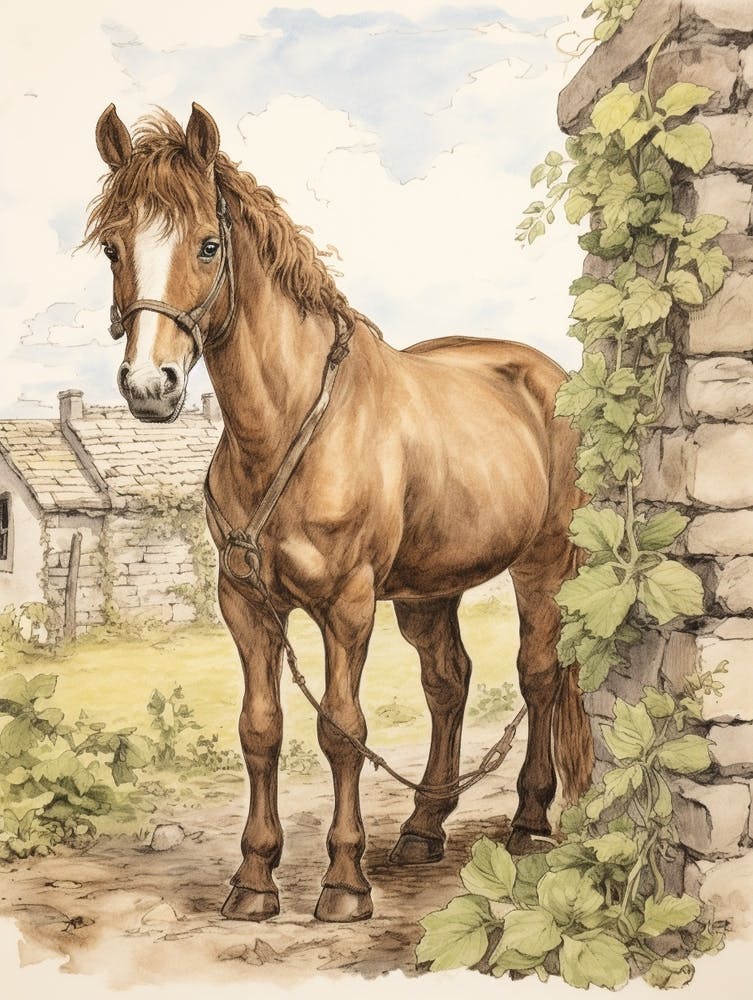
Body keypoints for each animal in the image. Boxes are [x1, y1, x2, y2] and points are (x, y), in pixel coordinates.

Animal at [87, 102, 594, 924]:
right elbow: (261, 730)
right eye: (112, 247)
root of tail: (547, 376)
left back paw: (527, 817)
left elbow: (342, 729)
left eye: (207, 245)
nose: (149, 387)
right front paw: (254, 879)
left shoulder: (348, 605)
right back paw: (423, 827)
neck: (285, 427)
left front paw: (344, 882)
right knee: (448, 683)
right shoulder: (245, 606)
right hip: (429, 591)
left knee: (538, 675)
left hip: (540, 566)